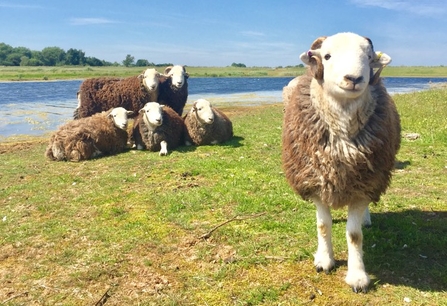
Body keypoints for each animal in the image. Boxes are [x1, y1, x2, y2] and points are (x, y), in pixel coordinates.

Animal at [282, 32, 400, 292]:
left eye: (368, 57)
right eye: (327, 56)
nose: (354, 78)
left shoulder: (363, 183)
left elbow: (354, 235)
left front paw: (358, 277)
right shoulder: (317, 182)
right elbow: (323, 225)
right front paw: (324, 260)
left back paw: (366, 219)